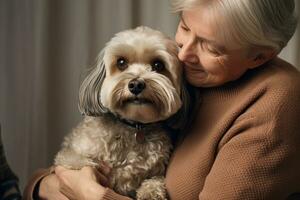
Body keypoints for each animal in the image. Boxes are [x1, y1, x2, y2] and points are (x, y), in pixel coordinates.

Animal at [54, 26, 189, 200]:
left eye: (158, 65)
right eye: (121, 62)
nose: (136, 85)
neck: (134, 127)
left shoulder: (156, 170)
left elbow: (156, 180)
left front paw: (150, 192)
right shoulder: (68, 156)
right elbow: (80, 162)